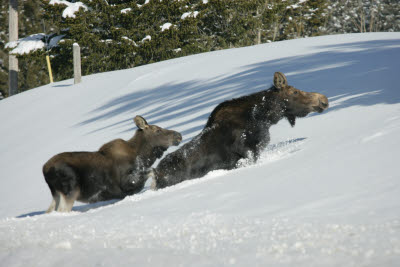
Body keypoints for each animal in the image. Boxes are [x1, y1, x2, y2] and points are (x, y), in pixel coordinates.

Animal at [43, 116, 181, 213]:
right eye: (157, 130)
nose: (178, 135)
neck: (142, 156)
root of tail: (45, 171)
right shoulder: (127, 182)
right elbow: (152, 171)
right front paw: (154, 187)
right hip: (71, 190)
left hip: (56, 194)